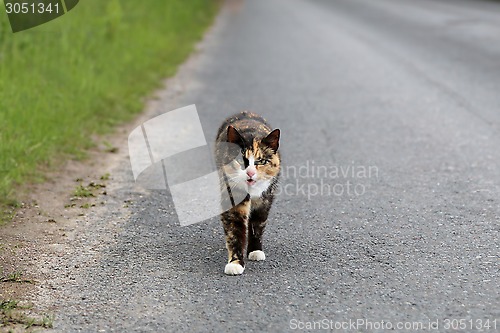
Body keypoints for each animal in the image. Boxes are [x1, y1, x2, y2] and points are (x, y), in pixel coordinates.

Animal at [213, 111, 280, 274]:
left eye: (260, 161)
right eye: (240, 159)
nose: (250, 172)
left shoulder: (265, 200)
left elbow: (257, 225)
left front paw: (255, 251)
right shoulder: (232, 197)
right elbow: (235, 231)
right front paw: (235, 263)